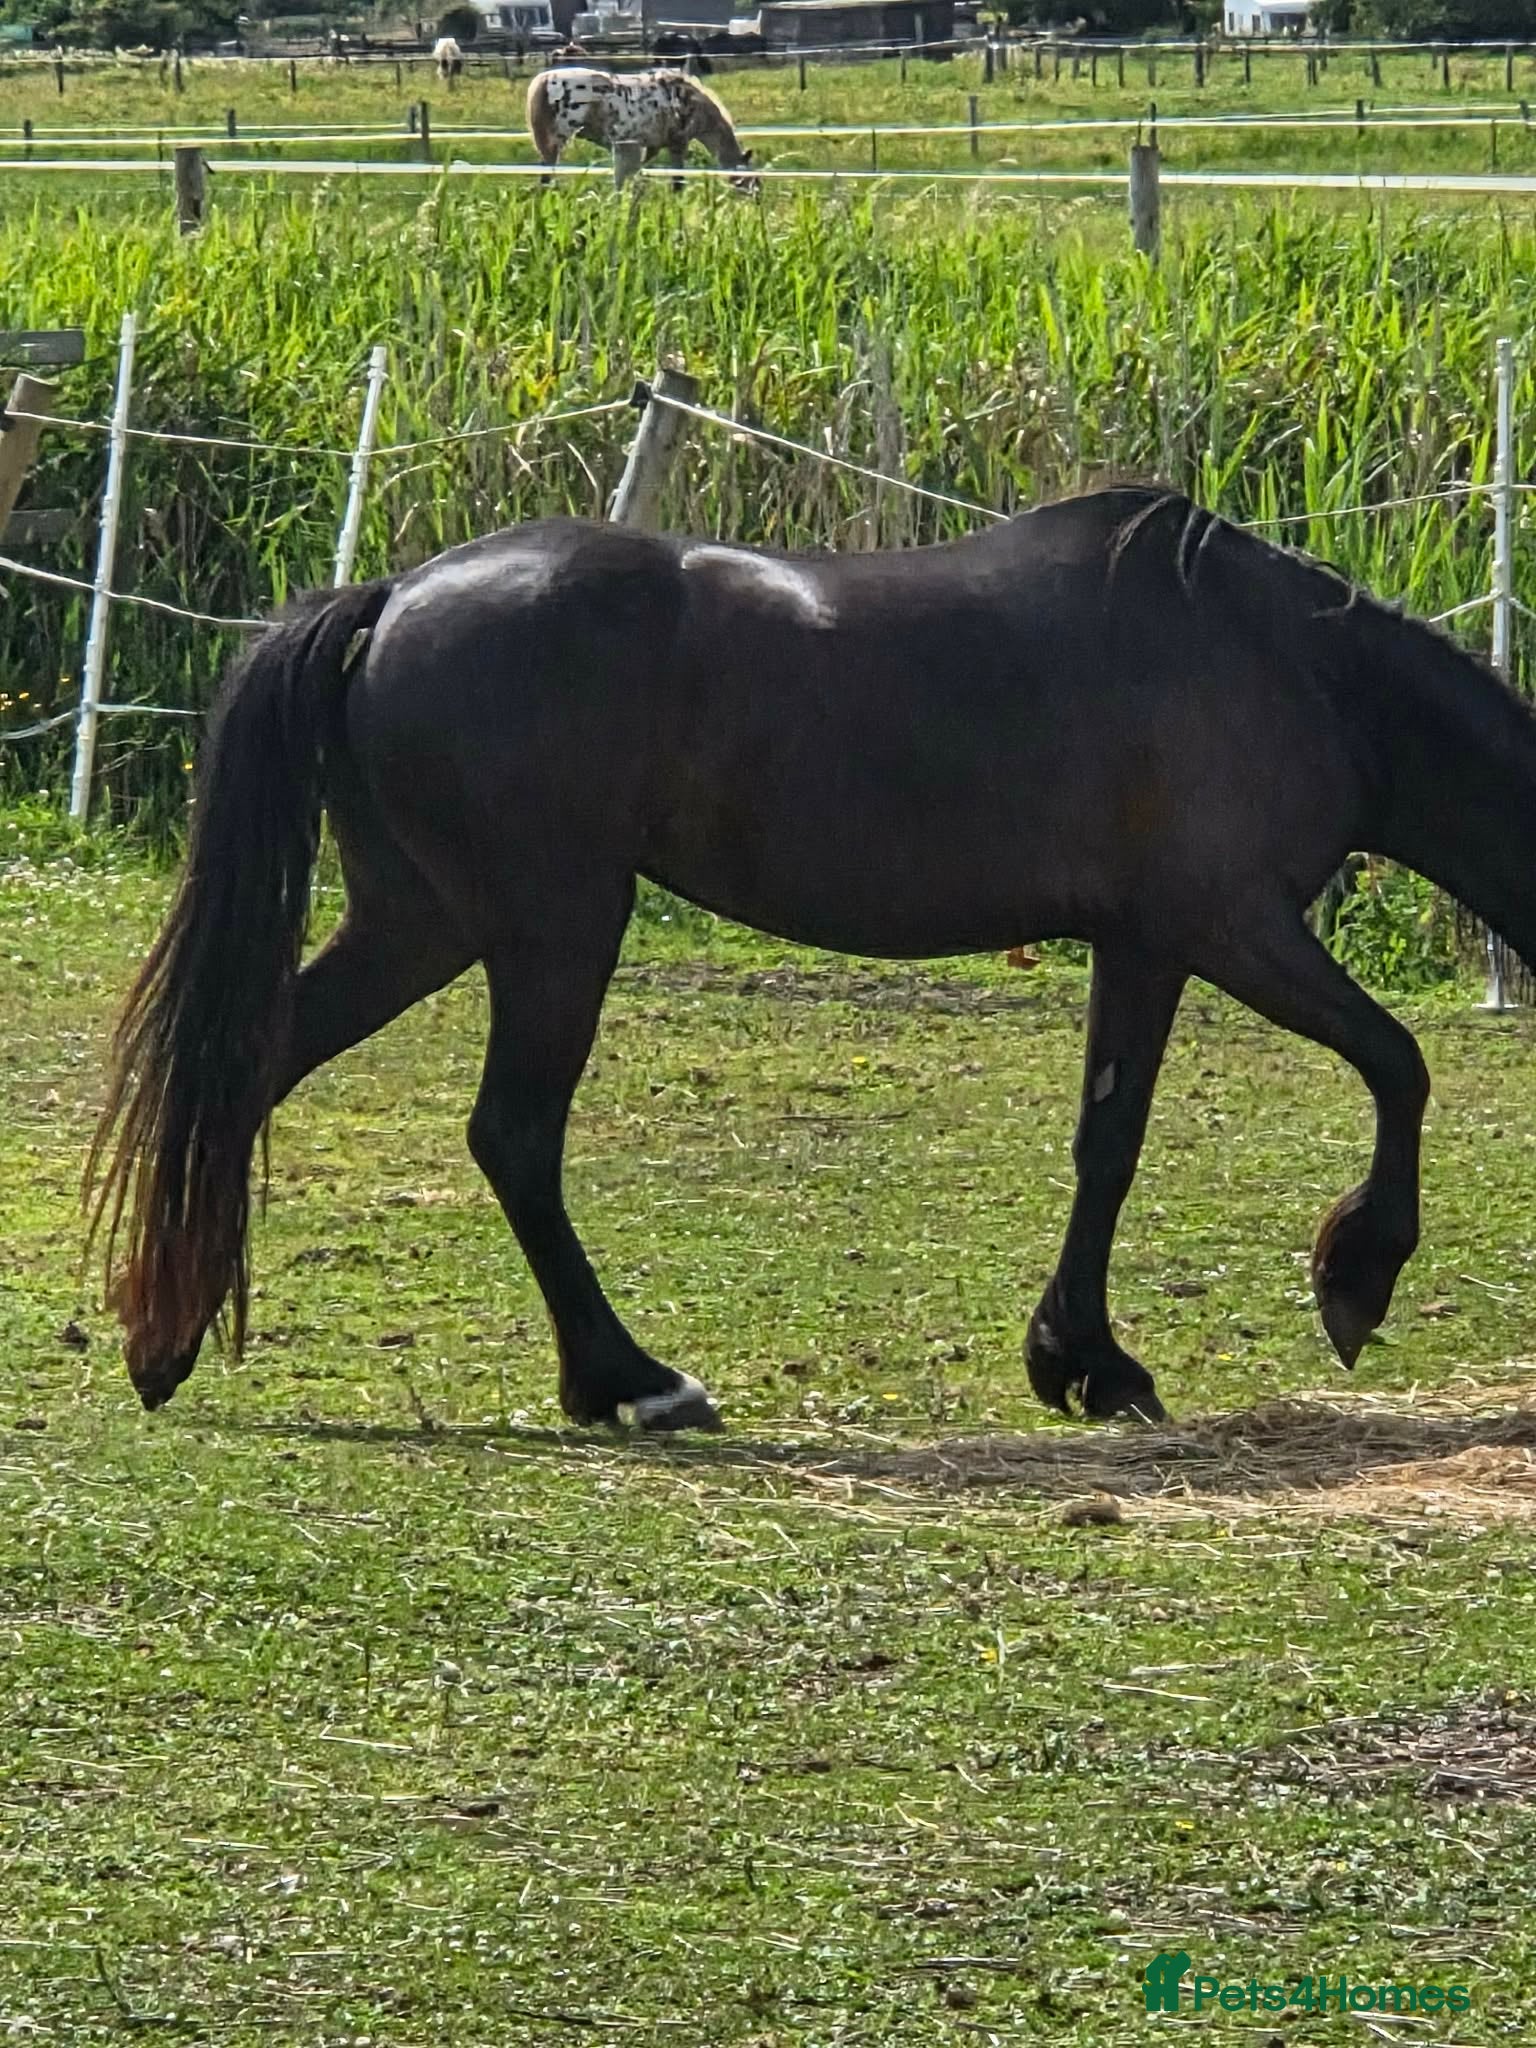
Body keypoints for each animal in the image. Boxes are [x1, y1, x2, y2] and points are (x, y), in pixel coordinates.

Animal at [89, 489, 1536, 1433]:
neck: (1289, 663)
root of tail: (394, 599)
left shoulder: (1145, 947)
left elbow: (1107, 1147)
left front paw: (1083, 1360)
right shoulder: (1233, 923)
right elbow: (1398, 1062)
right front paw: (1353, 1276)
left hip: (419, 922)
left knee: (253, 1063)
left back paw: (165, 1337)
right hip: (554, 926)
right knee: (513, 1135)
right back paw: (633, 1382)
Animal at [525, 65, 755, 188]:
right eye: (751, 180)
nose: (757, 199)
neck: (688, 102)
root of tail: (545, 78)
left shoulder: (650, 147)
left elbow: (638, 173)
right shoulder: (677, 145)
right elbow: (677, 182)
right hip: (556, 142)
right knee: (545, 178)